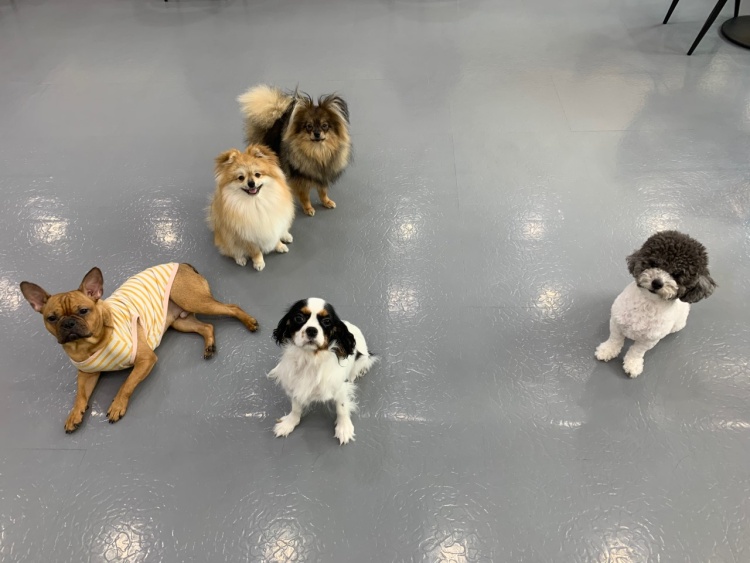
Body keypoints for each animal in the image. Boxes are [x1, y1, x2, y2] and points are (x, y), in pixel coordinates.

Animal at [20, 263, 258, 432]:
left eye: (83, 311)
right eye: (51, 318)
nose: (68, 323)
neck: (88, 344)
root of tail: (182, 264)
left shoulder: (145, 360)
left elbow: (126, 384)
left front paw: (117, 405)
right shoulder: (87, 374)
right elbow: (80, 394)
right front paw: (74, 414)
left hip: (195, 300)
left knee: (232, 307)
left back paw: (249, 322)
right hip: (181, 322)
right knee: (207, 326)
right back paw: (209, 345)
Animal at [238, 84, 351, 217]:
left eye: (325, 126)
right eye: (309, 126)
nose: (317, 133)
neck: (318, 152)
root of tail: (275, 119)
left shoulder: (322, 175)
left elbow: (322, 191)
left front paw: (327, 202)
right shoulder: (299, 179)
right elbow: (305, 196)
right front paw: (308, 209)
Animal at [269, 298, 376, 444]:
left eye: (327, 321)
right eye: (298, 318)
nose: (311, 330)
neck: (310, 358)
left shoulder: (340, 387)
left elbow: (341, 408)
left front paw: (344, 428)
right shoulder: (296, 385)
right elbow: (295, 408)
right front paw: (289, 423)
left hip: (362, 358)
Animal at [595, 231, 716, 378]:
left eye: (677, 275)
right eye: (653, 263)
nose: (657, 283)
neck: (648, 303)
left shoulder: (649, 340)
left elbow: (636, 351)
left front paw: (632, 364)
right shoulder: (616, 323)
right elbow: (615, 340)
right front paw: (607, 350)